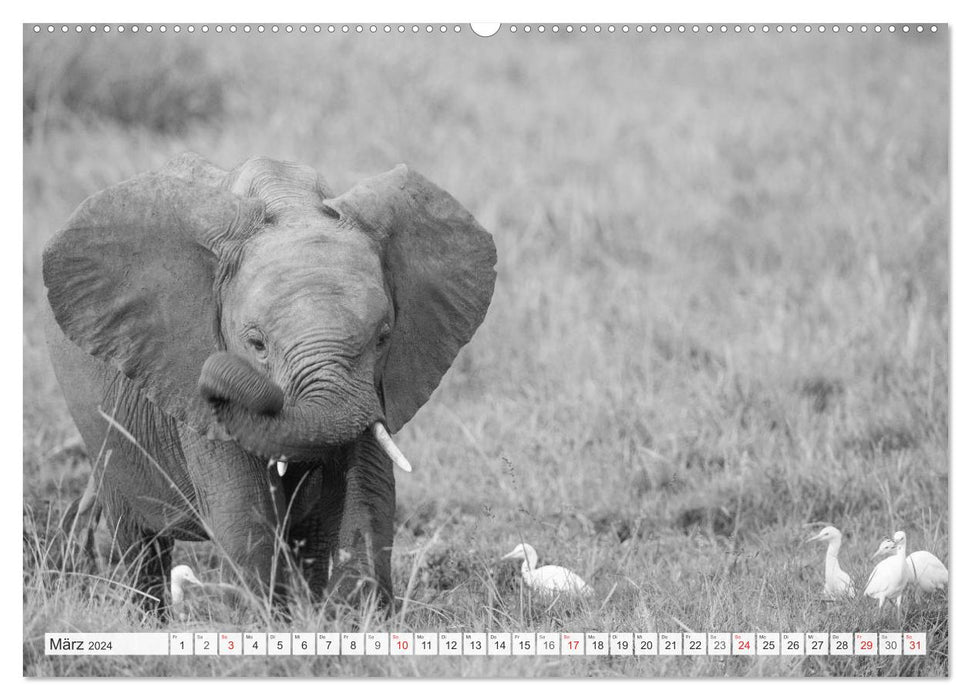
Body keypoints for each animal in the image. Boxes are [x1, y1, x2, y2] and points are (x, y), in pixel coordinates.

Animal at [41, 153, 498, 612]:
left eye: (384, 337)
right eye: (256, 344)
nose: (219, 377)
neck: (290, 201)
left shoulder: (374, 388)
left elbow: (367, 495)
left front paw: (348, 619)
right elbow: (244, 511)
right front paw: (269, 620)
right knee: (138, 542)